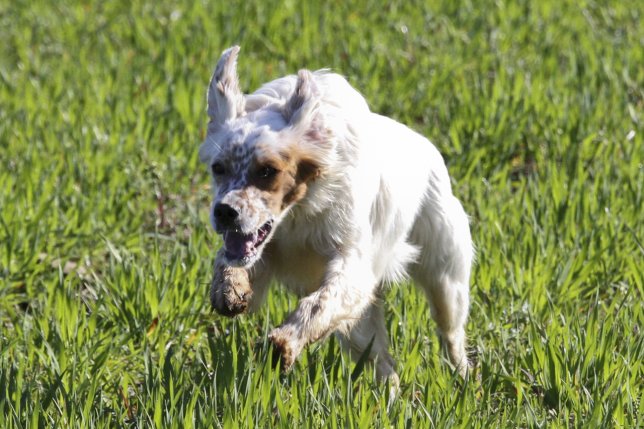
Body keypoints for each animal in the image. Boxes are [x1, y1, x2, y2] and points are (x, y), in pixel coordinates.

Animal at [197, 45, 472, 390]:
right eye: (218, 168)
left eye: (268, 171)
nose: (224, 212)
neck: (299, 213)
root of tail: (428, 149)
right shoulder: (265, 252)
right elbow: (231, 262)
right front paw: (229, 288)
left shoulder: (351, 263)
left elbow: (319, 302)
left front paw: (284, 343)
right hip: (361, 327)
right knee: (384, 364)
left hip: (445, 278)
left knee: (451, 333)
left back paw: (464, 377)